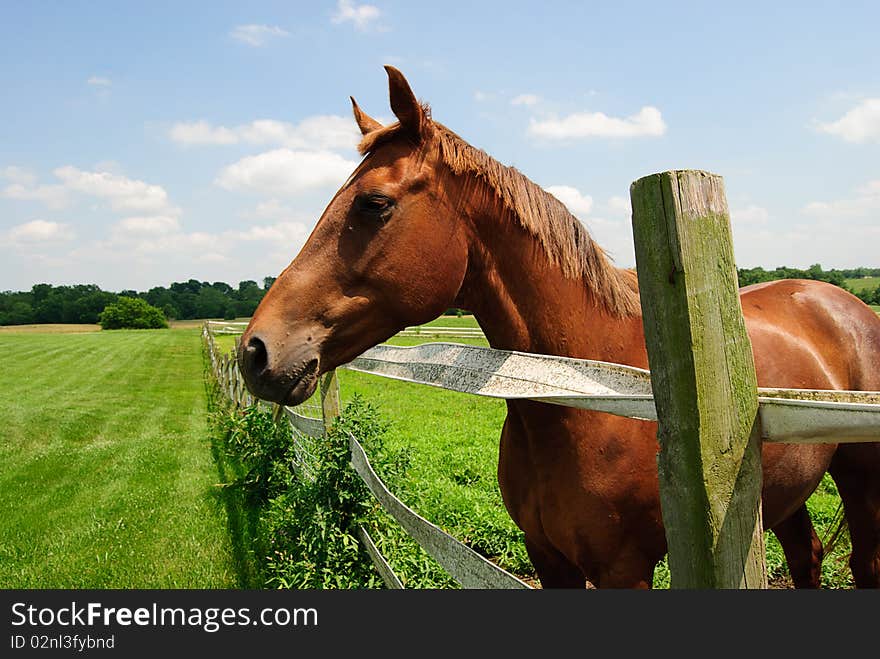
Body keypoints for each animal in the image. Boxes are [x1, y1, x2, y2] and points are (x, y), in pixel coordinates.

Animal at [235, 67, 880, 592]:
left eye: (373, 203)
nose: (255, 351)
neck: (583, 390)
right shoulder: (548, 558)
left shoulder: (622, 570)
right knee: (807, 557)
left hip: (859, 477)